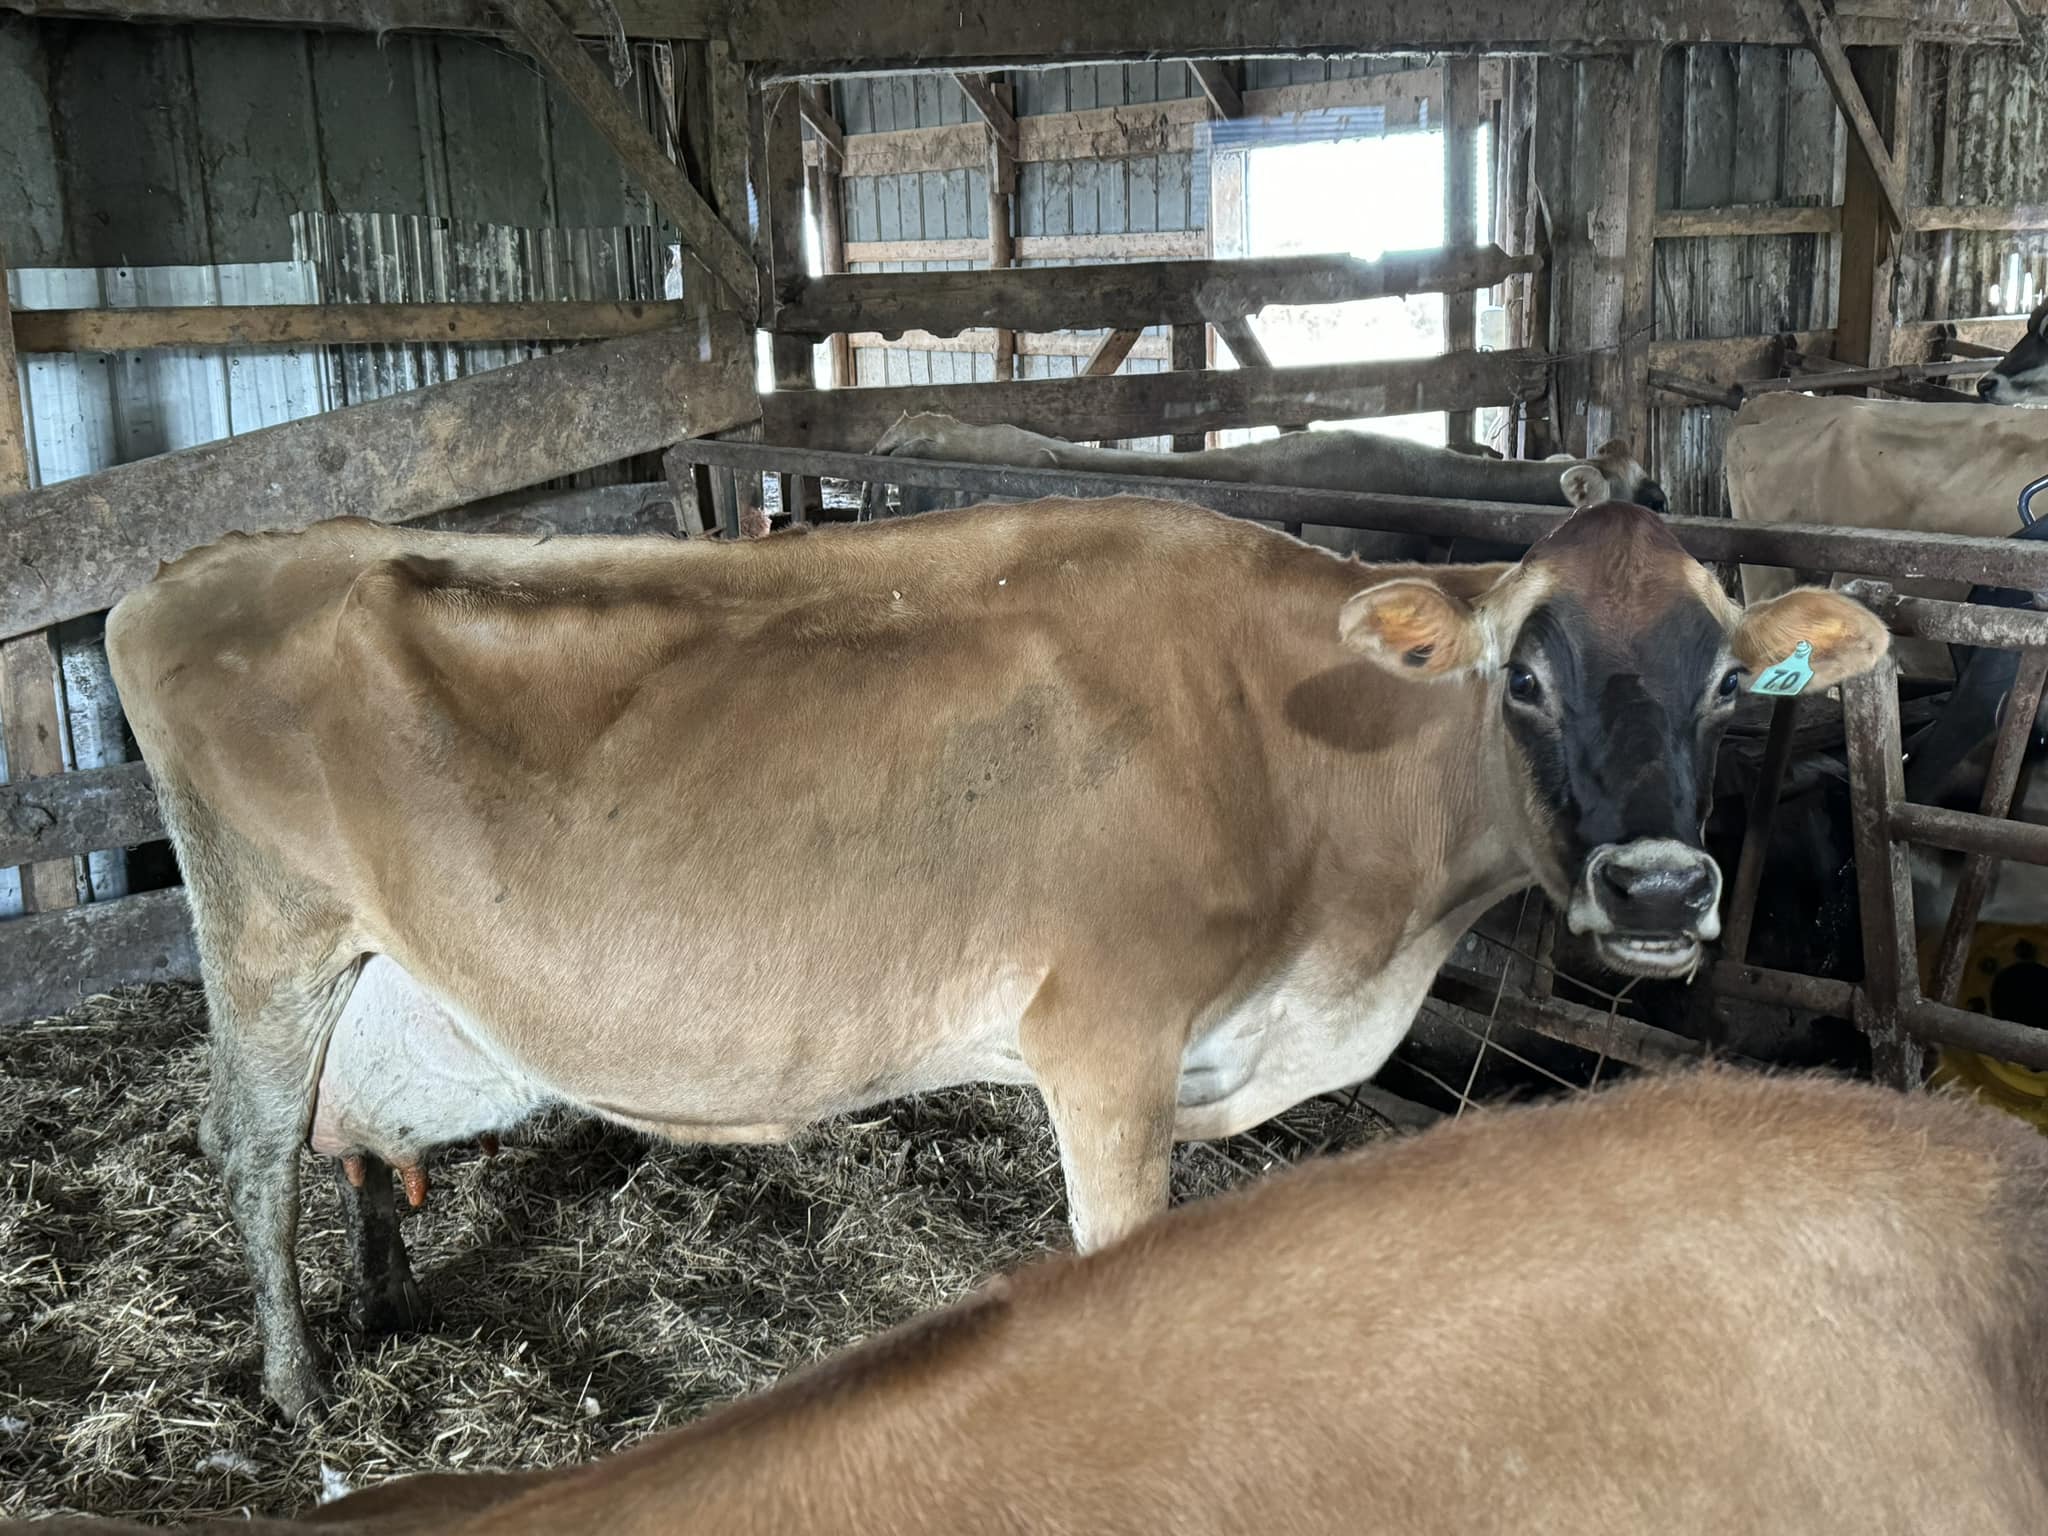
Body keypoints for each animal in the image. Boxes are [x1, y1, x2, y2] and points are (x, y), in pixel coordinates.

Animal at [104, 495, 1888, 1418]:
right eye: (1523, 674)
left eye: (1733, 683)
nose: (1660, 889)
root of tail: (185, 571)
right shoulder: (1108, 1041)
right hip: (268, 931)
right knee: (247, 1140)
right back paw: (299, 1392)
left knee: (343, 1139)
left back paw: (390, 1301)